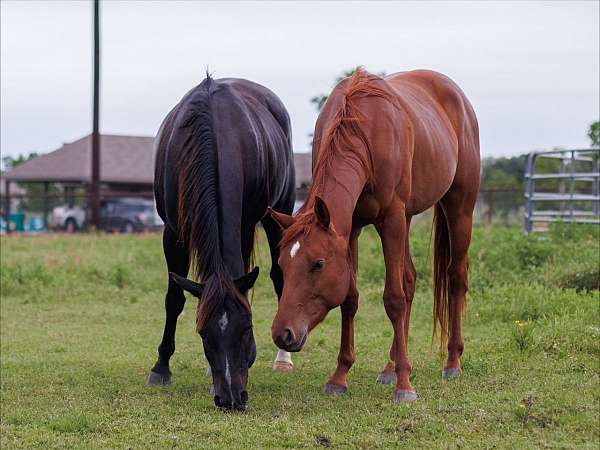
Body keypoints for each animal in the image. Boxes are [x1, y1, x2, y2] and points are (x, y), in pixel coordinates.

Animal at [148, 74, 292, 412]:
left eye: (247, 328)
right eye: (203, 332)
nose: (231, 398)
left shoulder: (244, 222)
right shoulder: (172, 232)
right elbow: (174, 299)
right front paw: (161, 367)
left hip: (279, 209)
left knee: (280, 275)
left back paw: (284, 359)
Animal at [270, 68, 480, 402]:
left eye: (318, 264)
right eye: (282, 264)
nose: (283, 334)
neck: (364, 131)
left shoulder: (391, 219)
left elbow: (393, 298)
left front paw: (405, 386)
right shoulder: (351, 227)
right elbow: (350, 299)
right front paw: (340, 377)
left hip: (458, 207)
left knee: (456, 277)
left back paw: (452, 361)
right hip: (408, 217)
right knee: (410, 280)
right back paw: (390, 366)